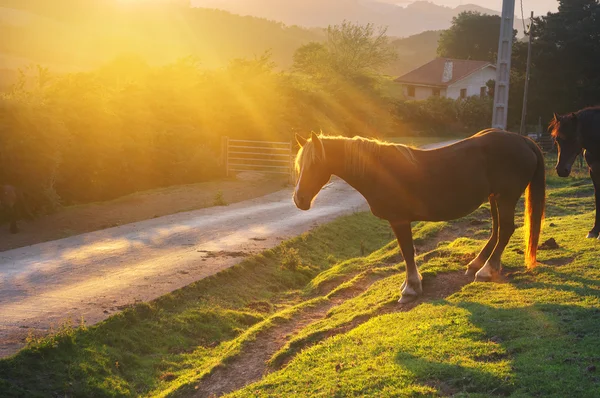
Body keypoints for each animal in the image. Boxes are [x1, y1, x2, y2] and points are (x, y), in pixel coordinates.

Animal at [292, 131, 548, 302]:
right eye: (299, 165)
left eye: (314, 163)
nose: (299, 199)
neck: (381, 172)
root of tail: (523, 140)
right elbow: (408, 252)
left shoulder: (399, 220)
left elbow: (407, 252)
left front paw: (411, 288)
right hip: (495, 197)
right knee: (497, 230)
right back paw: (478, 264)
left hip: (506, 197)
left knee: (505, 230)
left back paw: (486, 270)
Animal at [552, 105, 600, 238]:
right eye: (557, 140)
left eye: (574, 139)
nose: (561, 170)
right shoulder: (594, 172)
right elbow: (597, 197)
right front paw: (594, 231)